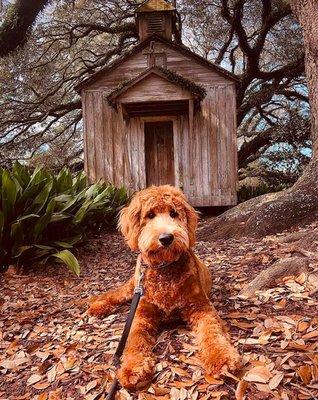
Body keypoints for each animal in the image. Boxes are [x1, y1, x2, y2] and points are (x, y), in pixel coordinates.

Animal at [88, 185, 240, 390]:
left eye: (174, 213)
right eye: (150, 215)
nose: (166, 238)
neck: (164, 269)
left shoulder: (201, 307)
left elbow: (212, 331)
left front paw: (221, 358)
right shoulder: (142, 313)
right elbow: (134, 339)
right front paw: (133, 367)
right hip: (132, 287)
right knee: (114, 294)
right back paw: (97, 306)